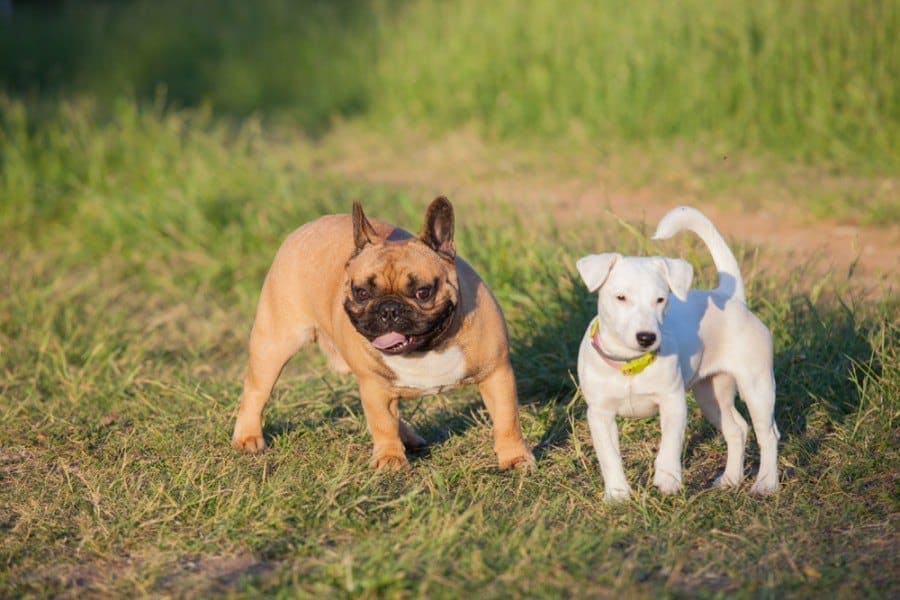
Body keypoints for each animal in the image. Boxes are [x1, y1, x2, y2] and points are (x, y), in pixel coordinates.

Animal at [232, 197, 536, 468]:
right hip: (274, 343)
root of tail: (307, 226)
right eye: (361, 292)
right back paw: (247, 437)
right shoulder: (374, 387)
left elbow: (507, 420)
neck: (426, 349)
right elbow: (382, 424)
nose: (388, 309)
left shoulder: (496, 374)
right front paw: (390, 458)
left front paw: (514, 458)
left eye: (423, 292)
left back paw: (410, 438)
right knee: (256, 392)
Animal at [580, 209, 776, 500]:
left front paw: (667, 481)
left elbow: (669, 446)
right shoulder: (600, 415)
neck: (631, 365)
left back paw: (766, 483)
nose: (647, 337)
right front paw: (617, 495)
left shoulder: (673, 403)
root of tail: (731, 297)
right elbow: (609, 457)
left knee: (768, 434)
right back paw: (730, 479)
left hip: (757, 387)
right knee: (737, 429)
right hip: (711, 394)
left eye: (661, 299)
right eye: (621, 298)